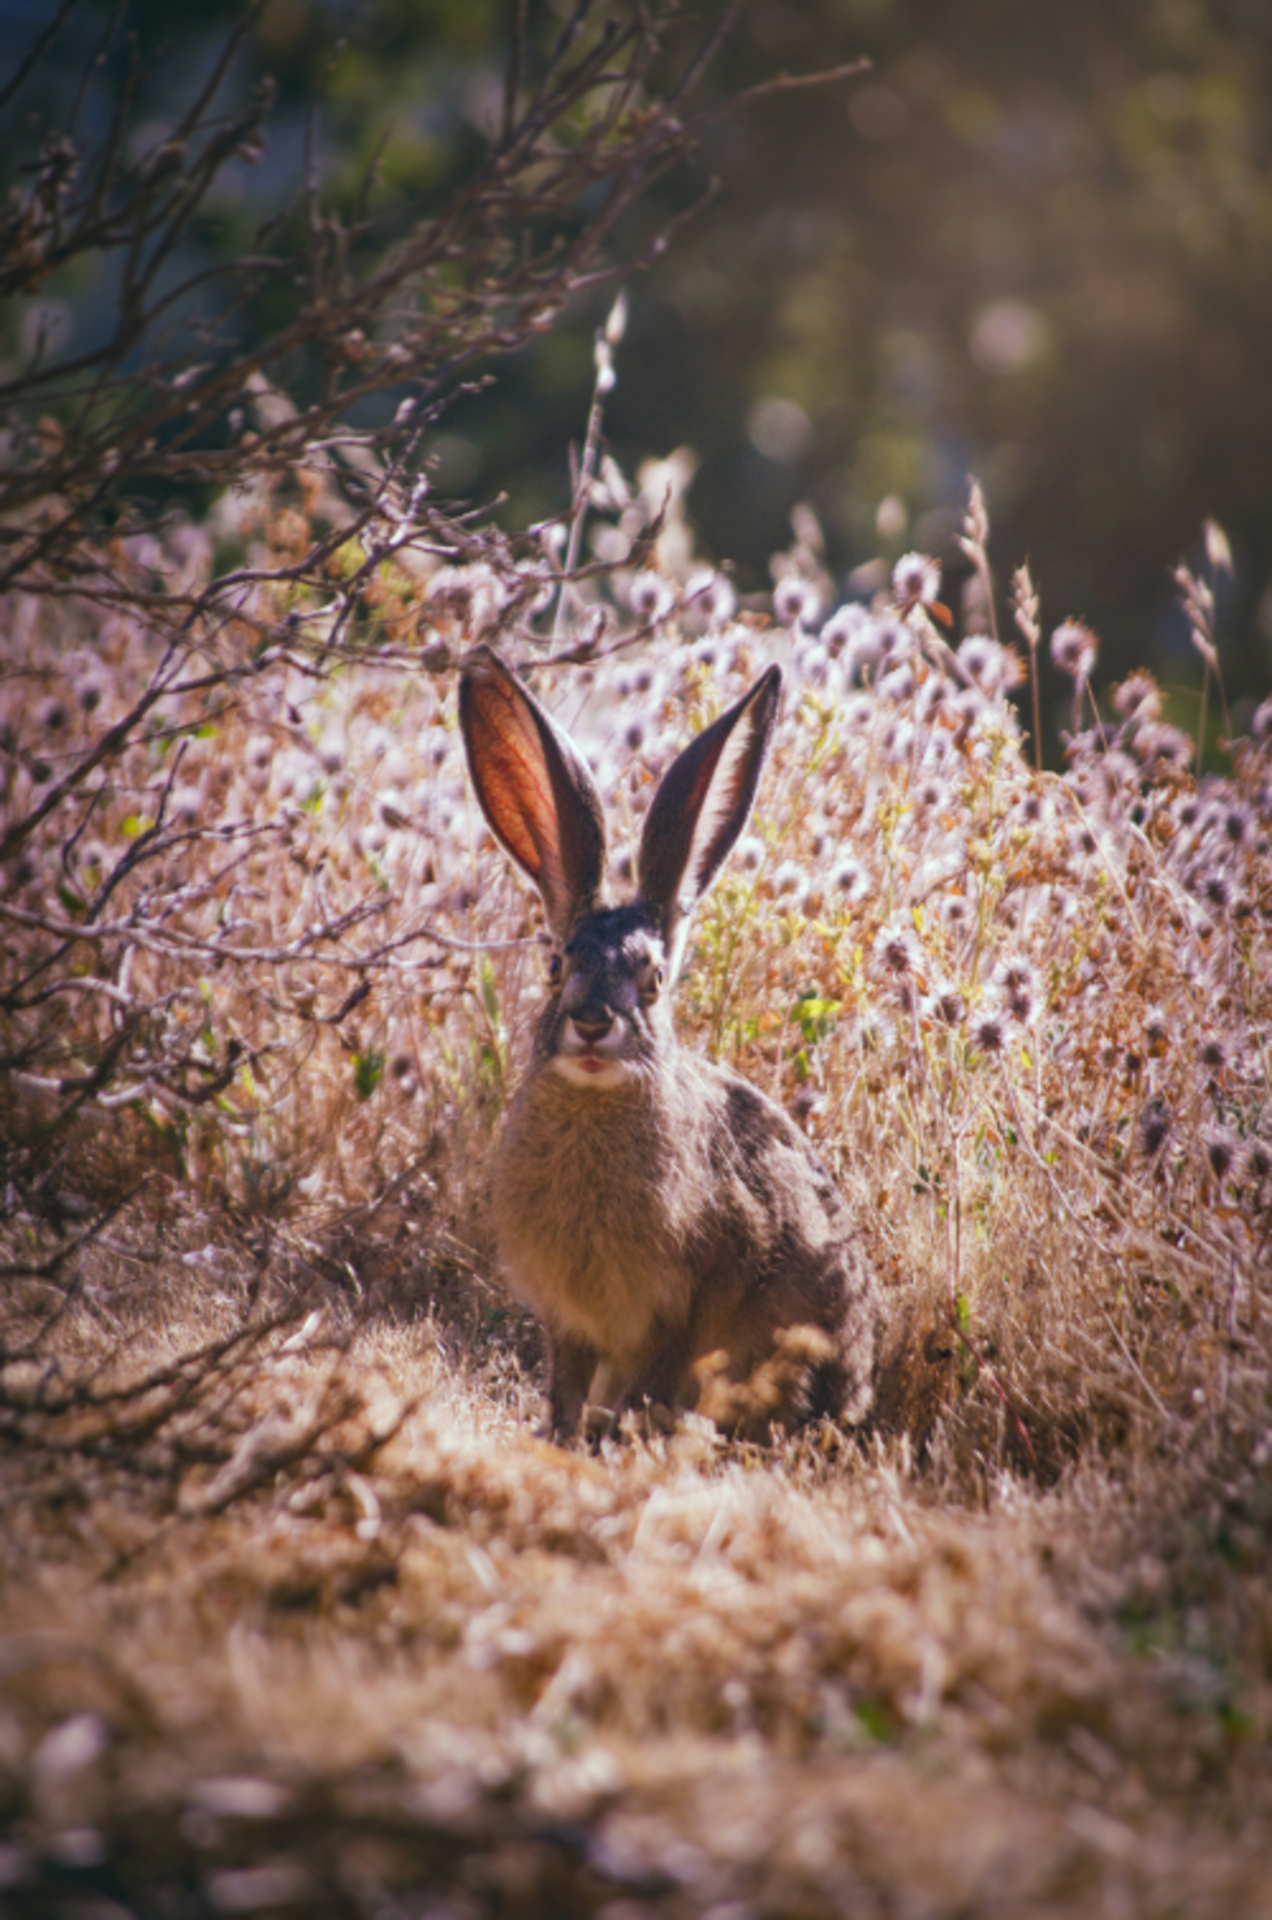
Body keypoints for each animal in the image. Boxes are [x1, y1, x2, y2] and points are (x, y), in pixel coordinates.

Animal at [458, 643, 879, 1441]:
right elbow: (564, 1387)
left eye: (653, 979)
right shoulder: (568, 1324)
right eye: (557, 966)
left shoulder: (684, 1307)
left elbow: (646, 1382)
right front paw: (560, 1438)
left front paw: (604, 1440)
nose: (594, 1022)